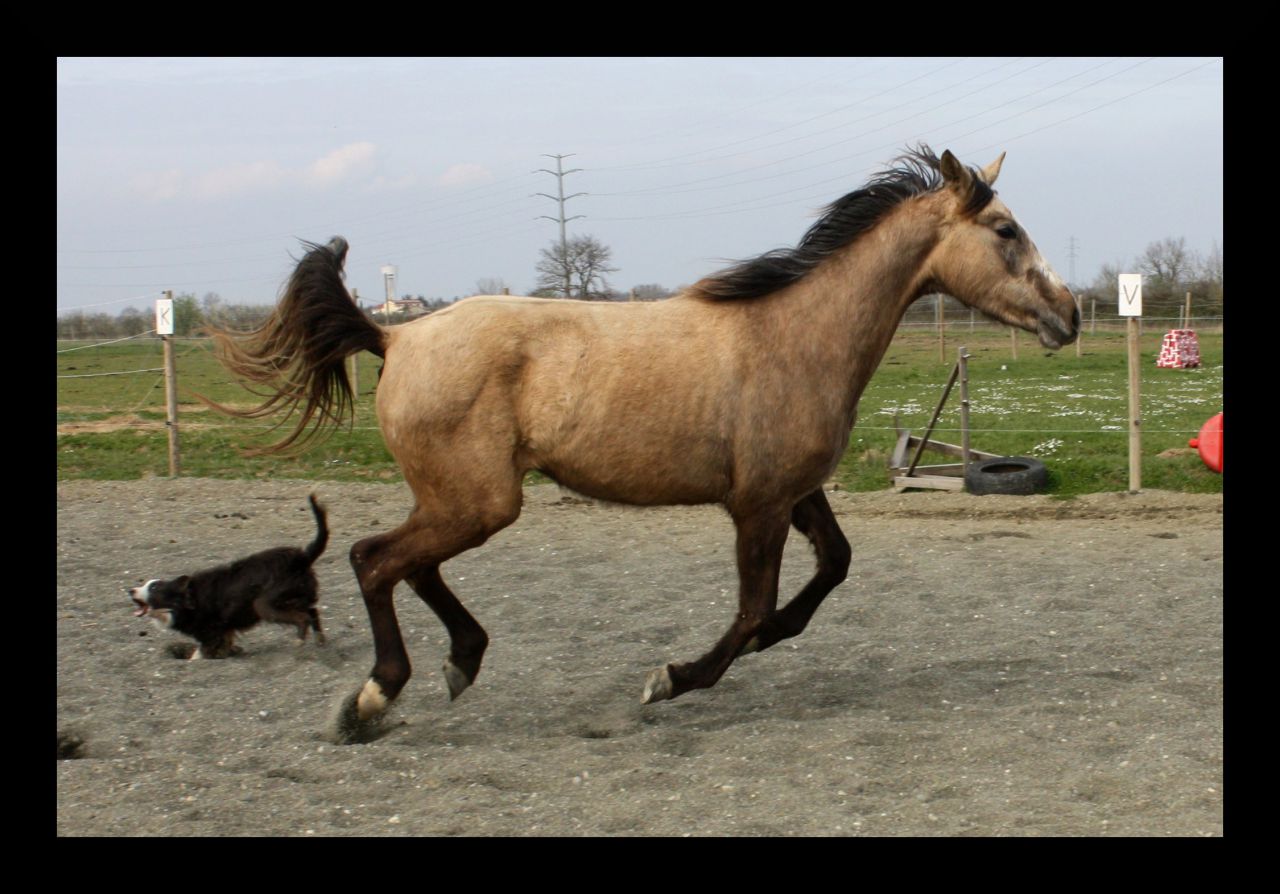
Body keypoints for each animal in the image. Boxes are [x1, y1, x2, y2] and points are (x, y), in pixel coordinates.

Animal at [129, 494, 328, 659]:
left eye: (154, 588)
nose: (130, 590)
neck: (188, 599)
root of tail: (301, 558)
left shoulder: (211, 633)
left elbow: (201, 653)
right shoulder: (224, 631)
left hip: (264, 604)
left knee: (303, 618)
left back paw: (300, 641)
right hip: (298, 597)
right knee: (312, 612)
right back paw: (320, 640)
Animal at [206, 146, 1078, 742]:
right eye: (1004, 229)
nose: (1067, 314)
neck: (797, 335)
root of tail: (395, 336)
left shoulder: (793, 492)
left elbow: (828, 571)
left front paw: (756, 645)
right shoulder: (756, 505)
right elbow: (753, 607)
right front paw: (671, 679)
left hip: (462, 500)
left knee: (406, 565)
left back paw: (460, 660)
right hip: (479, 500)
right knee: (373, 559)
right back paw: (372, 700)